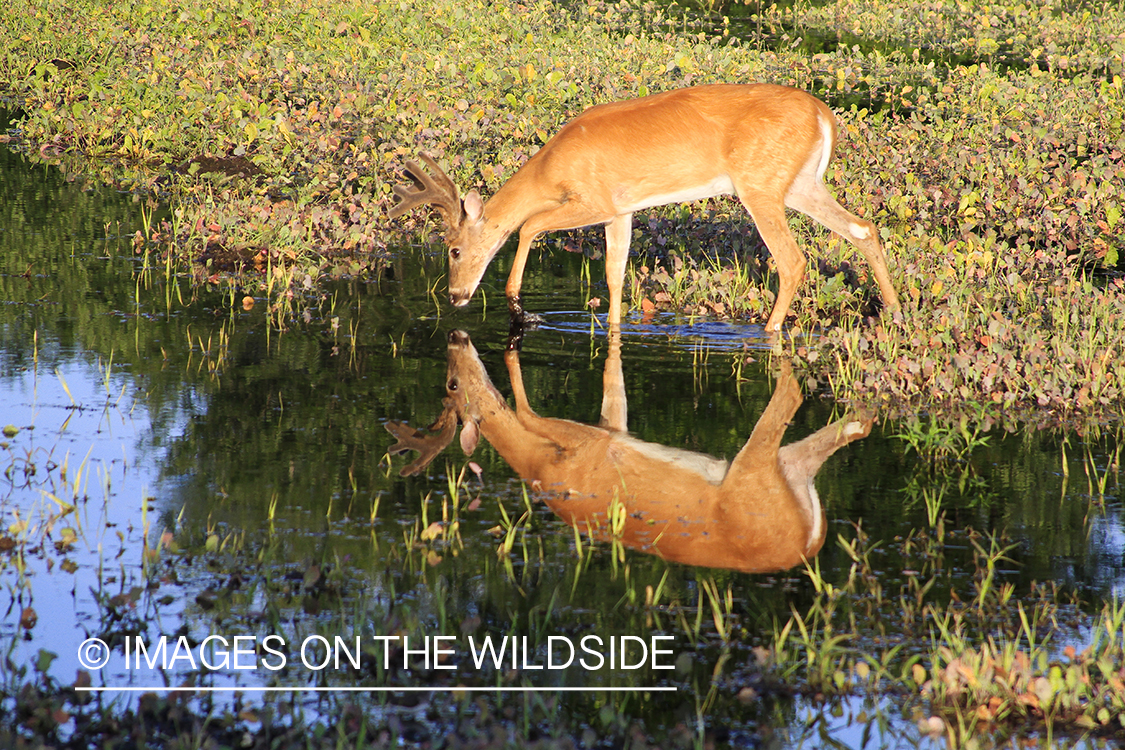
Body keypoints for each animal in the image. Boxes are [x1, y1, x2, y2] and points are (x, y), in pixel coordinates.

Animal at [386, 329, 873, 573]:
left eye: (451, 384)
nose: (455, 333)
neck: (541, 464)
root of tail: (807, 543)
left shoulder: (592, 444)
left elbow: (529, 411)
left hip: (752, 474)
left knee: (790, 396)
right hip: (785, 474)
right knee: (830, 429)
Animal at [387, 83, 901, 333]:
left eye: (453, 249)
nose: (455, 296)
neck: (552, 166)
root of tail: (824, 115)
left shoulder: (593, 198)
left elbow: (529, 225)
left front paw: (518, 310)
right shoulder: (621, 210)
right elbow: (614, 273)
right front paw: (612, 326)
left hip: (759, 183)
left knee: (793, 260)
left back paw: (768, 334)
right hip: (799, 183)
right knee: (863, 228)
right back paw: (895, 315)